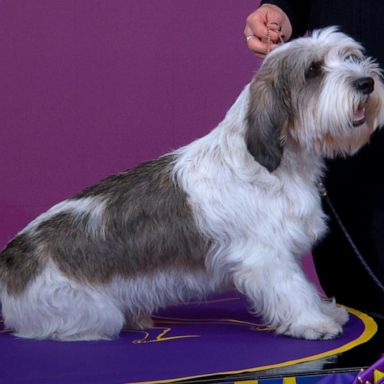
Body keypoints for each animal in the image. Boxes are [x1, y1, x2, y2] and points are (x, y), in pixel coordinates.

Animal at [0, 29, 384, 342]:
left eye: (350, 57)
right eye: (313, 71)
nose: (366, 82)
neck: (278, 164)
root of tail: (10, 258)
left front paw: (324, 311)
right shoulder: (267, 257)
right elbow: (292, 289)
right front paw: (312, 322)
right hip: (91, 313)